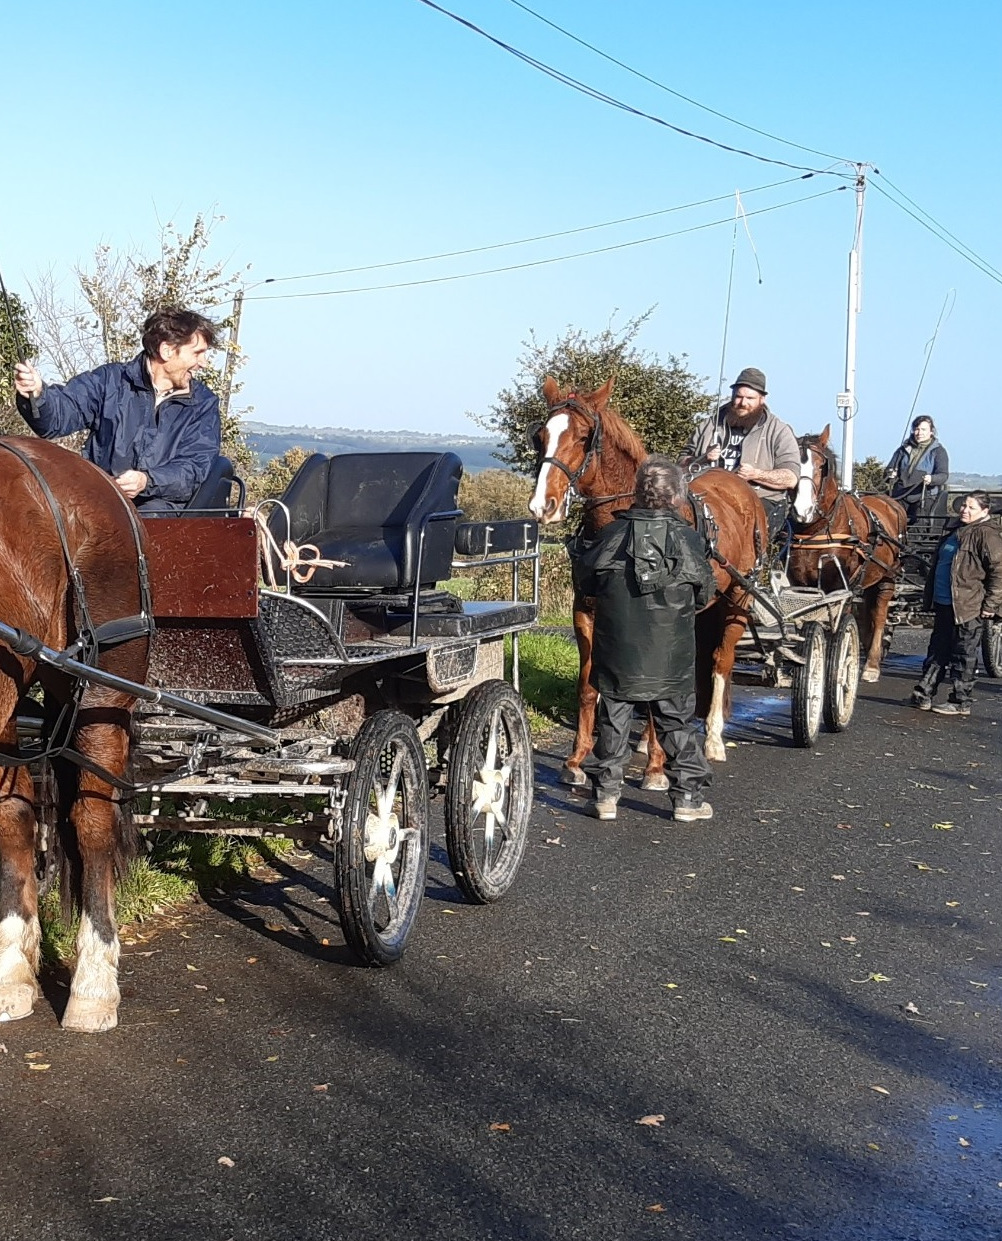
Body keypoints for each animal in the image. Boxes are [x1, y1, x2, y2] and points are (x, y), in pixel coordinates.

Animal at [523, 379, 769, 784]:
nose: (544, 505)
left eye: (584, 437)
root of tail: (739, 486)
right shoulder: (585, 611)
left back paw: (712, 739)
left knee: (720, 660)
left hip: (738, 596)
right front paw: (576, 760)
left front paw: (655, 768)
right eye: (540, 435)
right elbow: (588, 684)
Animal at [789, 424, 908, 680]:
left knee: (880, 614)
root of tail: (892, 503)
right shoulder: (799, 584)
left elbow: (839, 625)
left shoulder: (841, 586)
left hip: (888, 576)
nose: (802, 510)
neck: (816, 529)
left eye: (821, 467)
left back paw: (871, 664)